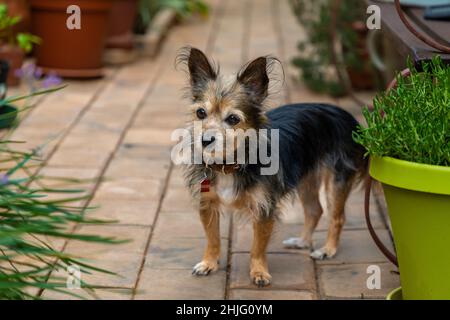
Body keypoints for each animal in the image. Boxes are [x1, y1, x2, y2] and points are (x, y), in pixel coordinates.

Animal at [178, 47, 368, 288]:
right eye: (200, 113)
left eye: (233, 119)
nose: (205, 140)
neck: (231, 164)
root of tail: (348, 117)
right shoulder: (208, 204)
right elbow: (212, 239)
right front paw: (209, 263)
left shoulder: (264, 208)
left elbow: (257, 247)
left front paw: (259, 272)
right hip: (307, 180)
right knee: (315, 210)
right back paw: (302, 241)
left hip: (336, 181)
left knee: (336, 217)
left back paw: (327, 250)